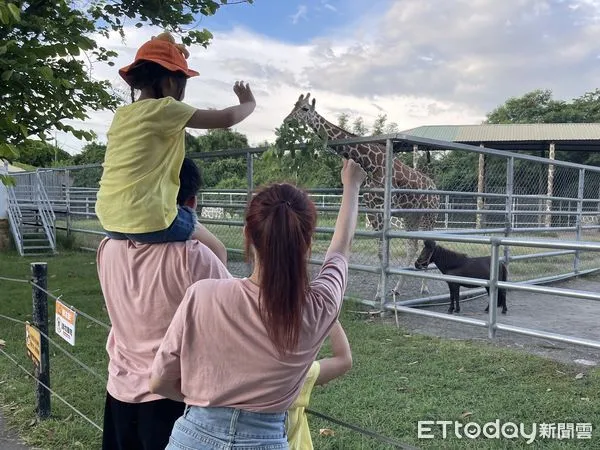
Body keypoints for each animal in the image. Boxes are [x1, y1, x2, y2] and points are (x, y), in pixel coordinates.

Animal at [282, 93, 440, 300]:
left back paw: (425, 288)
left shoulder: (381, 209)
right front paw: (382, 292)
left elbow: (383, 251)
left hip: (429, 215)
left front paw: (379, 295)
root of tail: (436, 190)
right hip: (411, 217)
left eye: (305, 109)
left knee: (429, 243)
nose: (286, 122)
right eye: (294, 105)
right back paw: (398, 288)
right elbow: (381, 252)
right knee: (412, 245)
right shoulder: (372, 209)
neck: (370, 163)